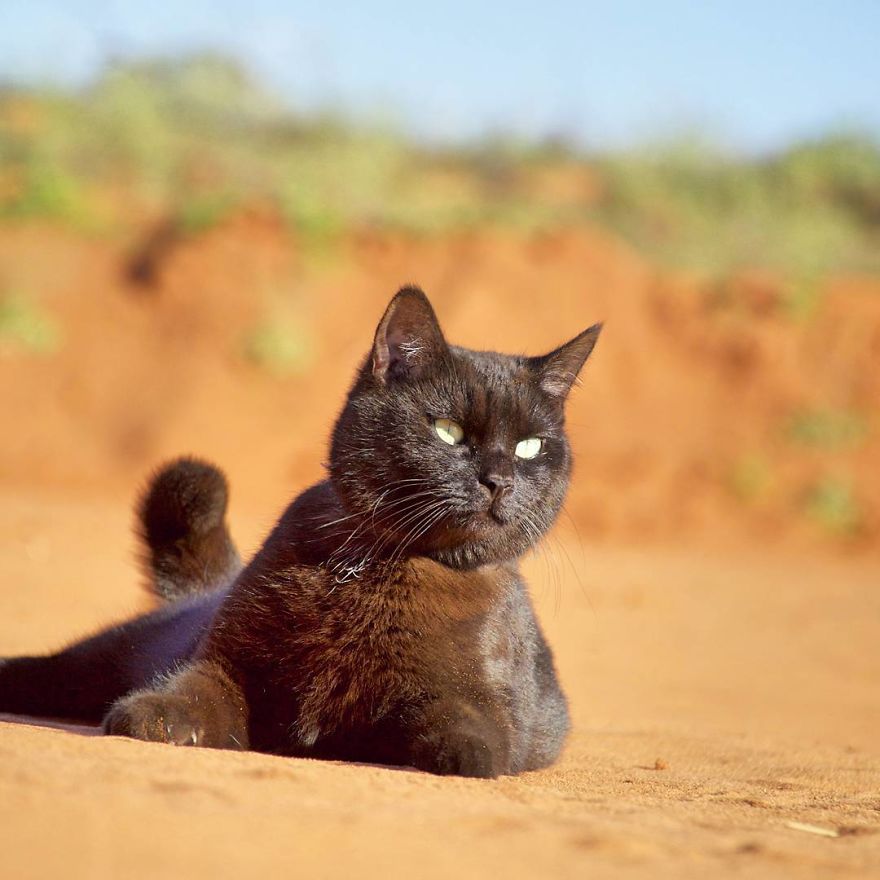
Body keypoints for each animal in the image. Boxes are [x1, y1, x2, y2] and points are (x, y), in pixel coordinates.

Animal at [0, 288, 600, 776]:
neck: (381, 569)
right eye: (447, 430)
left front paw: (462, 751)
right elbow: (192, 689)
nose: (499, 480)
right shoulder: (227, 663)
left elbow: (464, 723)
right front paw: (157, 714)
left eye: (530, 446)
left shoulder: (481, 702)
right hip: (93, 660)